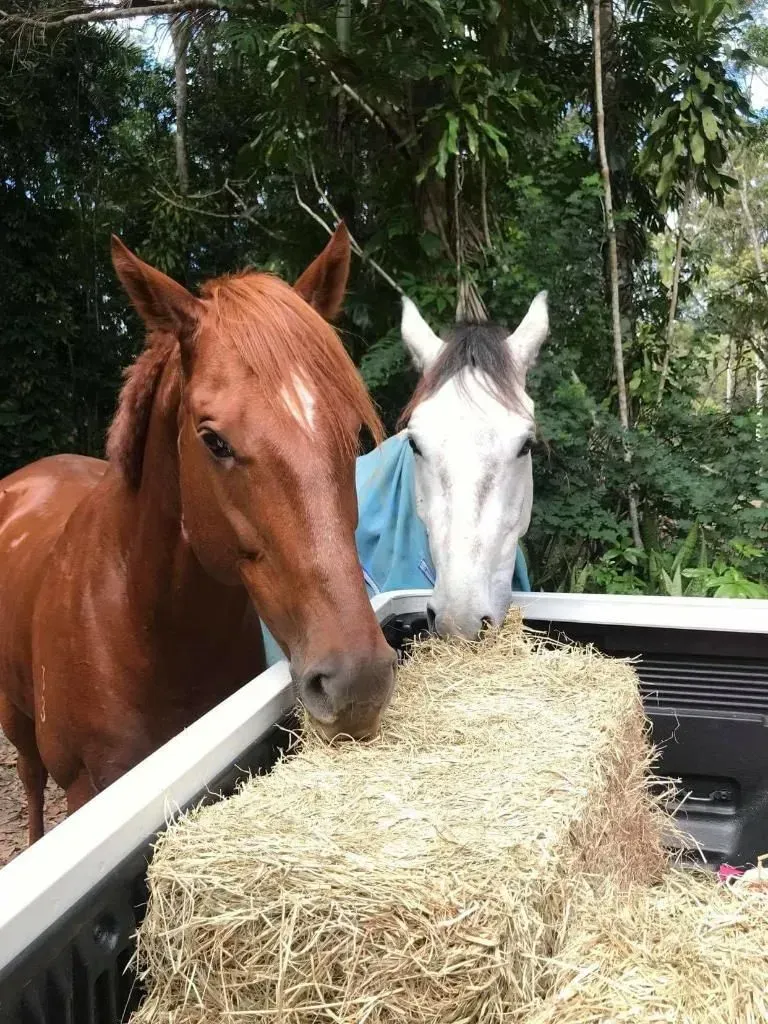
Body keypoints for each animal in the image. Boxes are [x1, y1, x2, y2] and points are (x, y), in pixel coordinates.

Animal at [0, 224, 396, 845]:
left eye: (354, 431)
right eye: (214, 440)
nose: (359, 681)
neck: (144, 625)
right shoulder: (86, 787)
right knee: (30, 778)